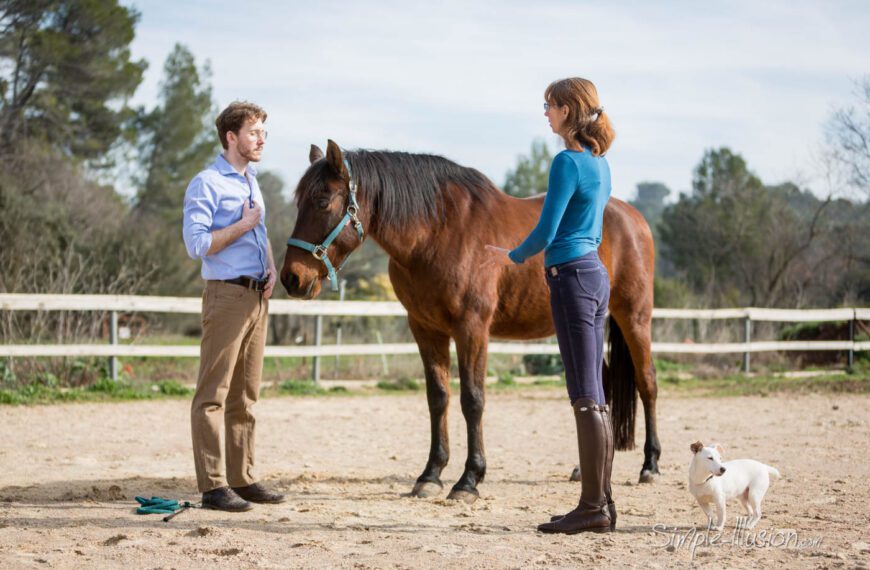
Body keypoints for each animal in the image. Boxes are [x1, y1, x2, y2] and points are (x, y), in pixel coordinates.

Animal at [282, 139, 664, 502]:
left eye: (322, 200)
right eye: (298, 201)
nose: (292, 278)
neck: (437, 233)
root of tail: (632, 217)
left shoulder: (472, 329)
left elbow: (473, 399)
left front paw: (469, 480)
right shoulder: (425, 329)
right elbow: (438, 397)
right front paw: (430, 476)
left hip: (634, 317)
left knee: (646, 382)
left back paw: (650, 465)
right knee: (599, 385)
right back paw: (586, 467)